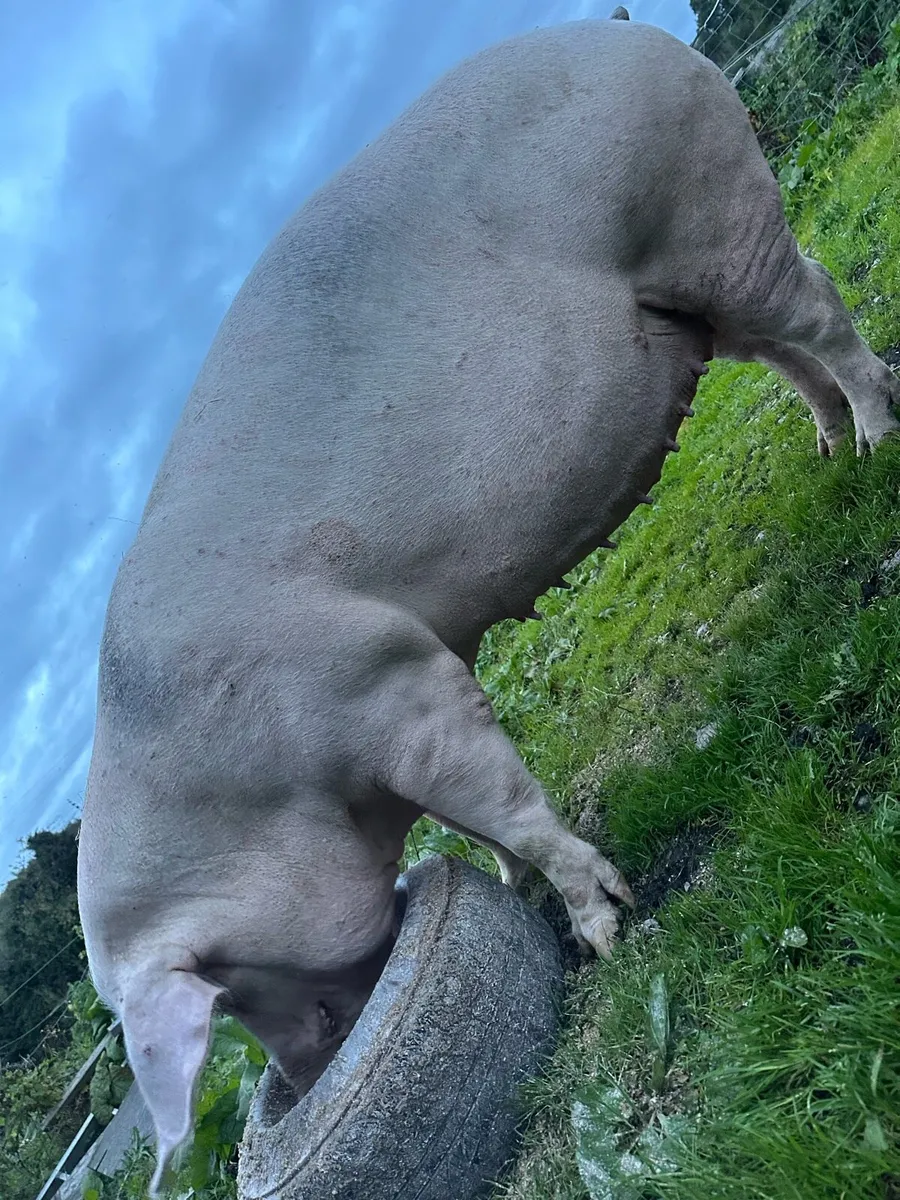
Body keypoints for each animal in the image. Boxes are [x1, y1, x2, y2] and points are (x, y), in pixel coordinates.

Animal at [76, 14, 899, 1193]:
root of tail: (624, 33)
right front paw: (508, 890)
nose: (305, 1070)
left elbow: (498, 796)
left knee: (821, 308)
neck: (253, 789)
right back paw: (831, 456)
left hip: (706, 204)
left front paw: (602, 930)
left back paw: (876, 447)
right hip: (693, 292)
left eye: (229, 987)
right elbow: (469, 818)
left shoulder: (390, 680)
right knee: (786, 347)